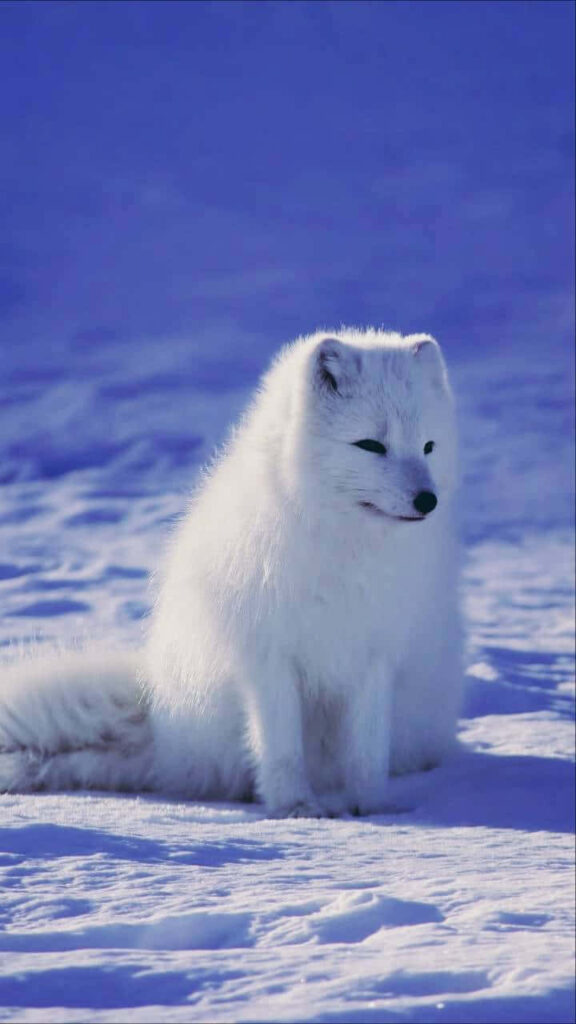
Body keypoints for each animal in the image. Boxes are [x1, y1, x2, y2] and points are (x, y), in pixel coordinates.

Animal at [0, 329, 463, 817]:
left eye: (429, 446)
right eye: (371, 445)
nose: (427, 500)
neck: (344, 548)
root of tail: (162, 730)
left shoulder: (374, 656)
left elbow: (366, 752)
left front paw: (368, 809)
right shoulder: (267, 657)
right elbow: (281, 749)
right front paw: (296, 808)